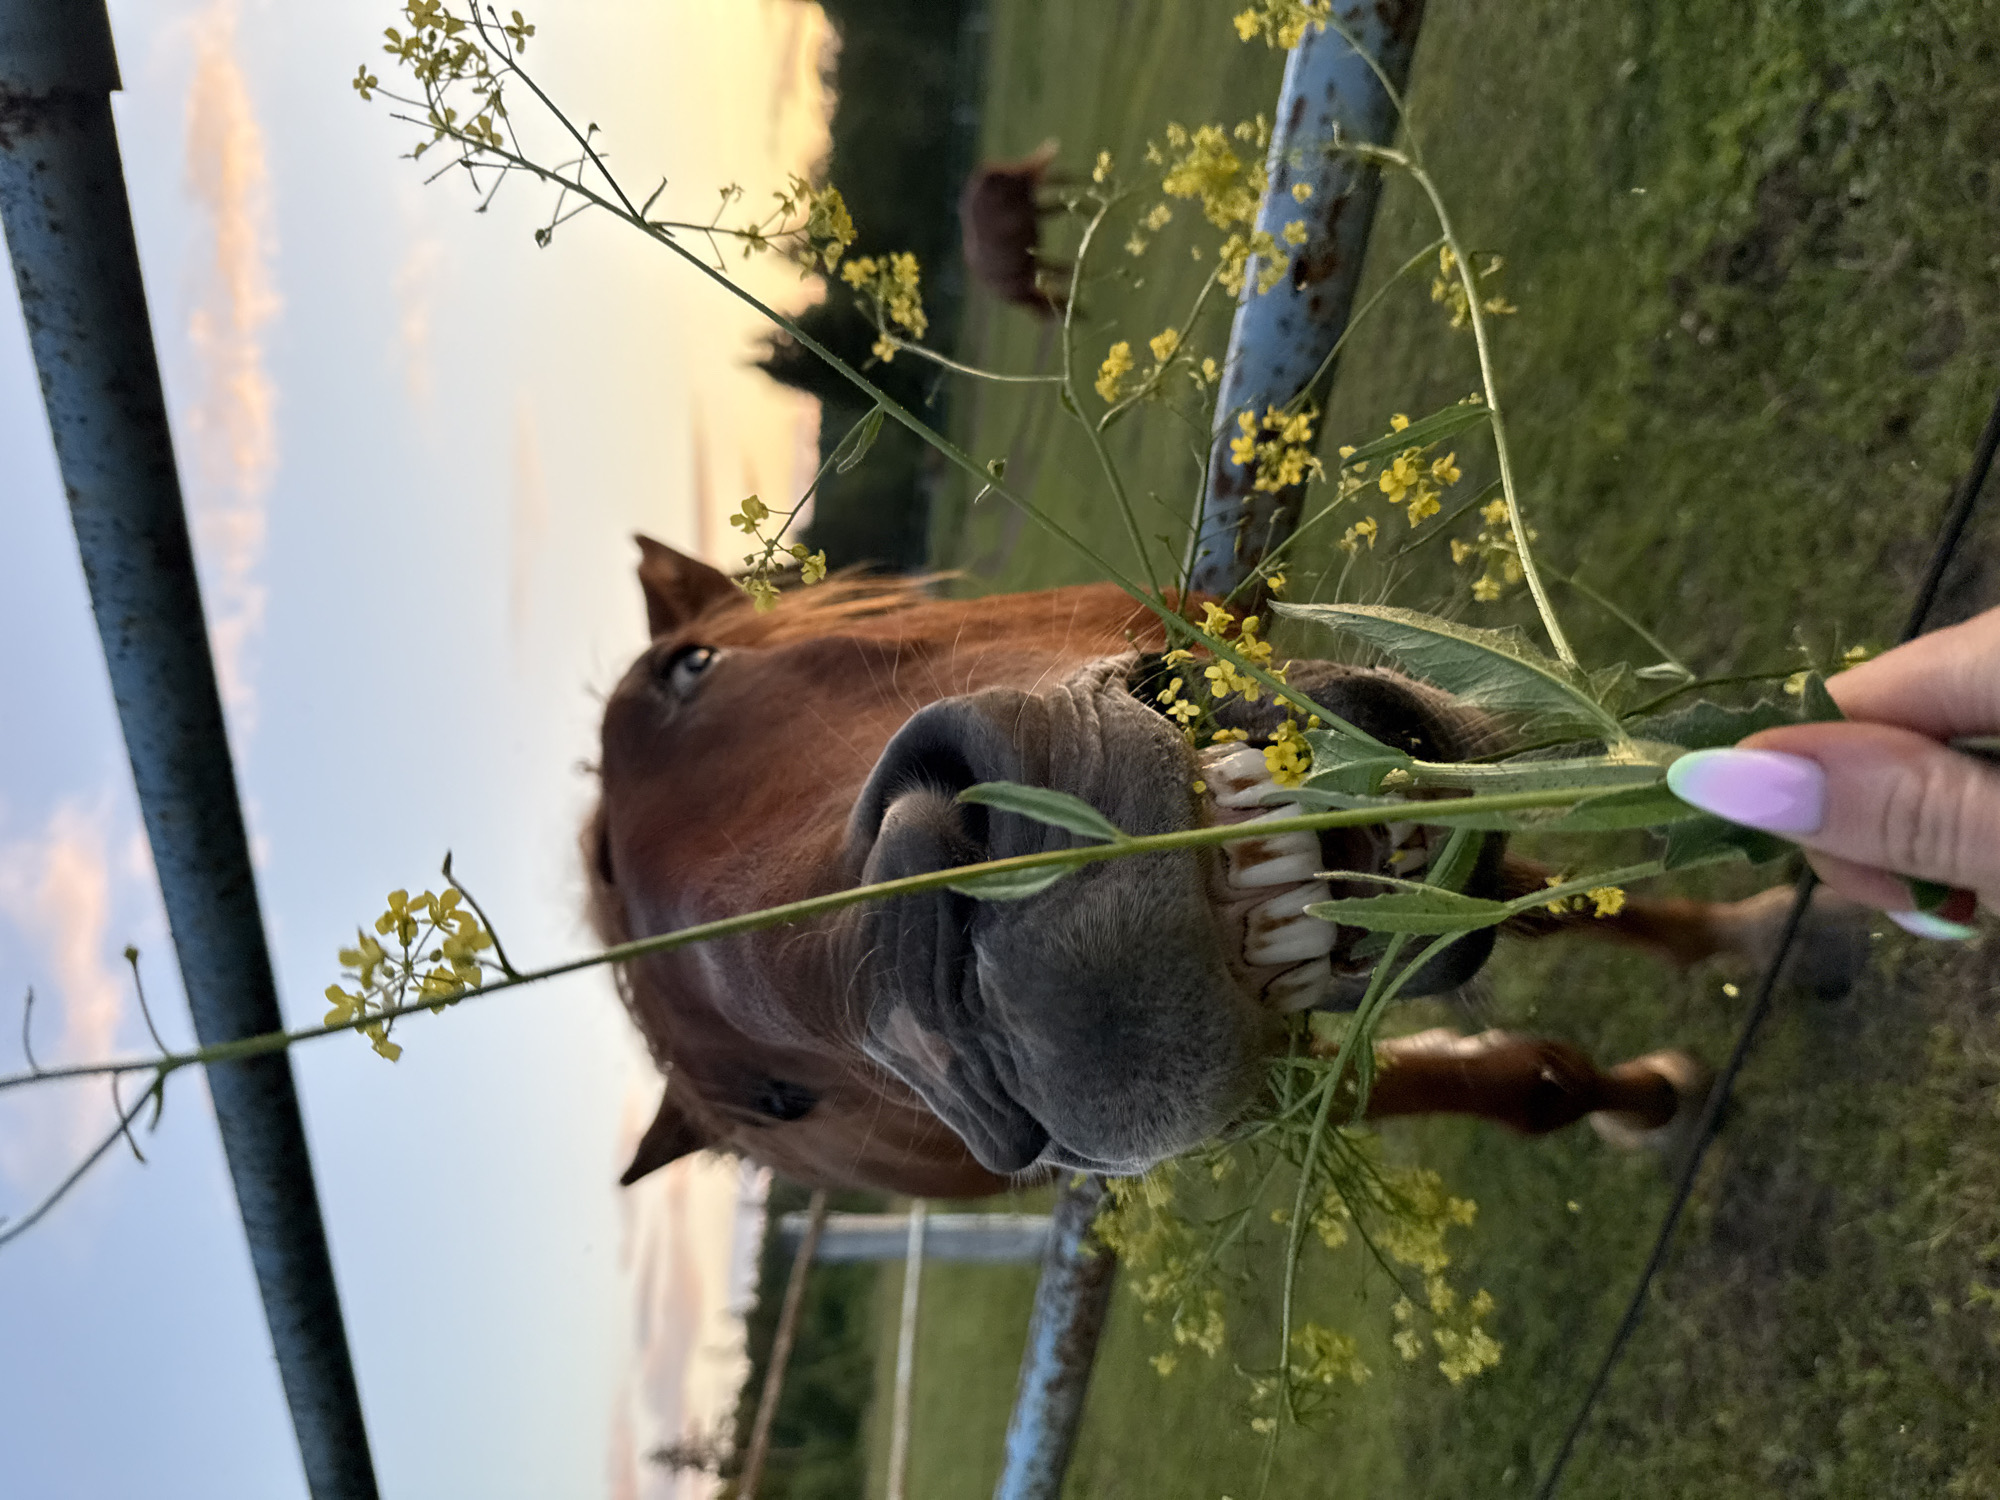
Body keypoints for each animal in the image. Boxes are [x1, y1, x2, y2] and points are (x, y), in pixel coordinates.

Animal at [587, 538, 1860, 1197]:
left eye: (689, 667)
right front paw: (1636, 1097)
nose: (960, 975)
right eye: (781, 1101)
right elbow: (1515, 1077)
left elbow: (1534, 895)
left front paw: (1760, 918)